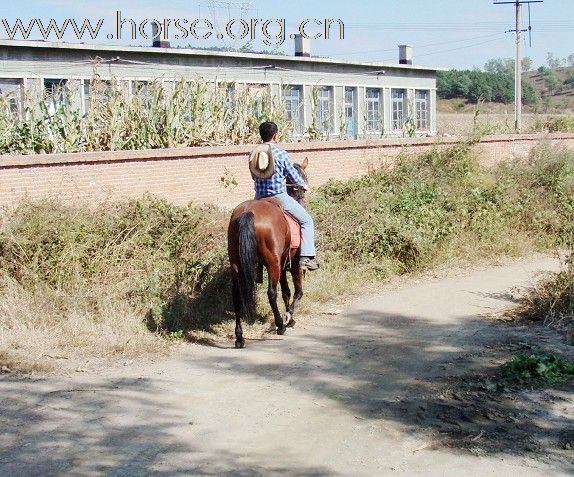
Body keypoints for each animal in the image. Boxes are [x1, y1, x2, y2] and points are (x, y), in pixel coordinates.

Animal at [230, 158, 310, 348]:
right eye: (304, 177)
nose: (305, 192)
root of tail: (248, 212)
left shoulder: (283, 262)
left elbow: (286, 291)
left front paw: (289, 317)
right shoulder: (294, 263)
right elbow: (297, 292)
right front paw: (289, 317)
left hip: (236, 263)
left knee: (236, 296)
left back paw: (239, 337)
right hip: (273, 263)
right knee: (271, 293)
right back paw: (280, 325)